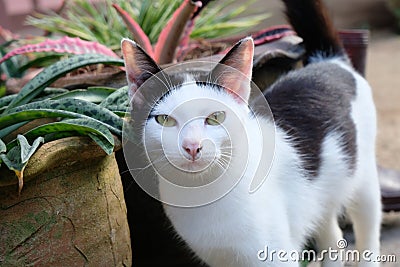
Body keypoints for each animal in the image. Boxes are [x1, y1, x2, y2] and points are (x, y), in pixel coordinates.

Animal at [121, 0, 382, 266]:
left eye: (216, 117)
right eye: (165, 120)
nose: (192, 146)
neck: (203, 195)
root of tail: (329, 61)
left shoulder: (276, 255)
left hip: (364, 178)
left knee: (368, 225)